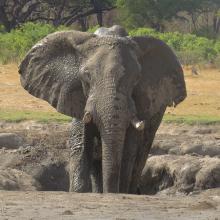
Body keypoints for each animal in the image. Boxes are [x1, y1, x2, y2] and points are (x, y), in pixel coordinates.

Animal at [18, 25, 186, 192]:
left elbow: (128, 151)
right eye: (87, 76)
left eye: (137, 78)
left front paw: (118, 191)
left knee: (139, 157)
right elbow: (80, 147)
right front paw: (79, 192)